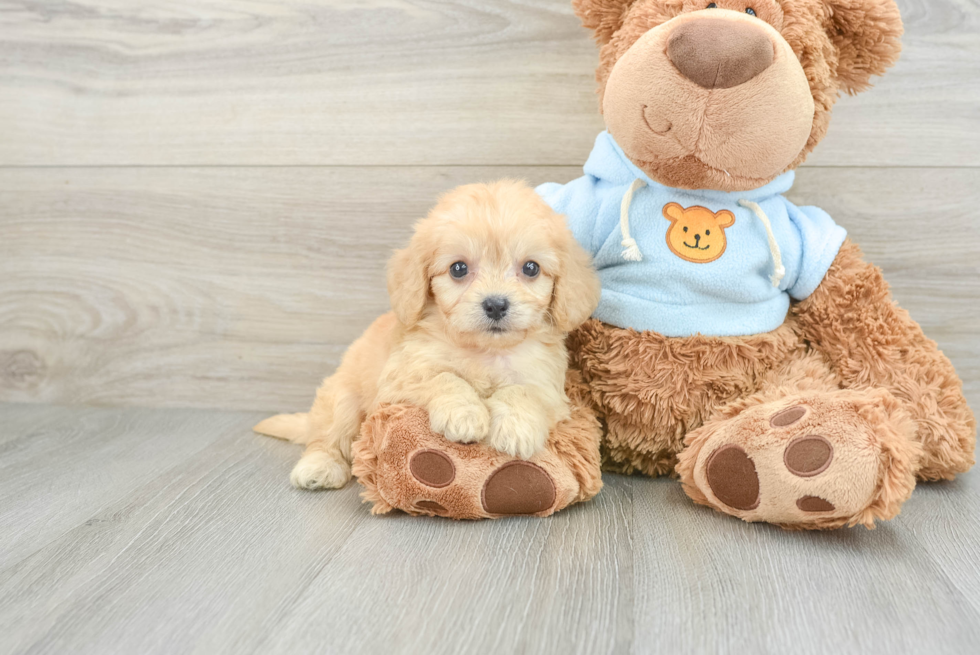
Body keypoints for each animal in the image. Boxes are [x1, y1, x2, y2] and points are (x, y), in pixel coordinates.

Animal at [255, 182, 596, 490]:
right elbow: (444, 377)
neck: (484, 350)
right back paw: (319, 467)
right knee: (326, 438)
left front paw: (515, 428)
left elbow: (523, 391)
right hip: (342, 399)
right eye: (458, 269)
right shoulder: (400, 379)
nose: (496, 304)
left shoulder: (549, 388)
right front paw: (465, 413)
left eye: (531, 268)